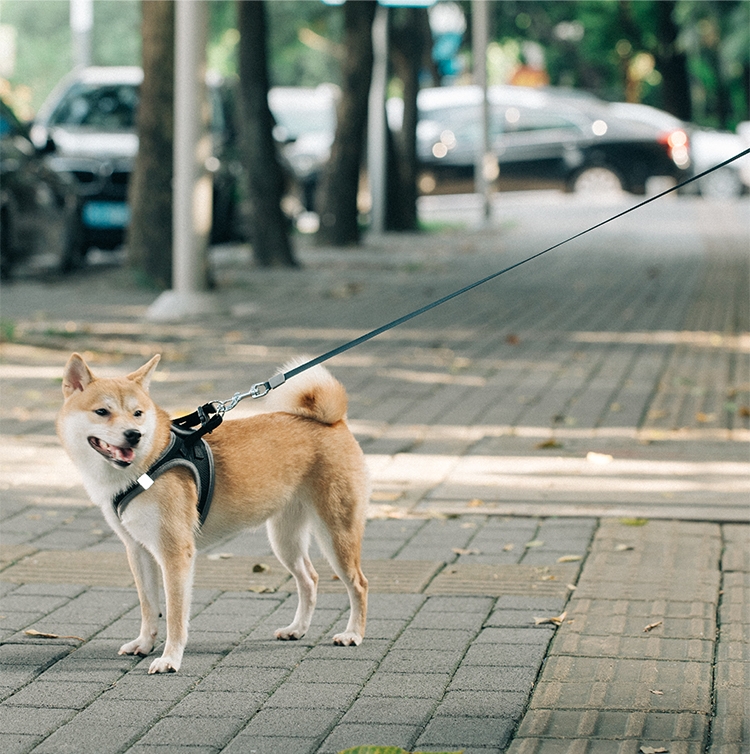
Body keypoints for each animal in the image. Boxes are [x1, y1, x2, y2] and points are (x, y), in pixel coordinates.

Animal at [56, 352, 370, 668]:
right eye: (102, 412)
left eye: (138, 413)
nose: (134, 435)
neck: (149, 461)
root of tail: (334, 422)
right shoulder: (138, 550)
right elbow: (148, 608)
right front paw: (144, 644)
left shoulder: (175, 553)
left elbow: (175, 615)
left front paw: (170, 659)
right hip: (285, 540)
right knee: (310, 579)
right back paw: (297, 629)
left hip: (336, 534)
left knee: (359, 584)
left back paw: (353, 634)